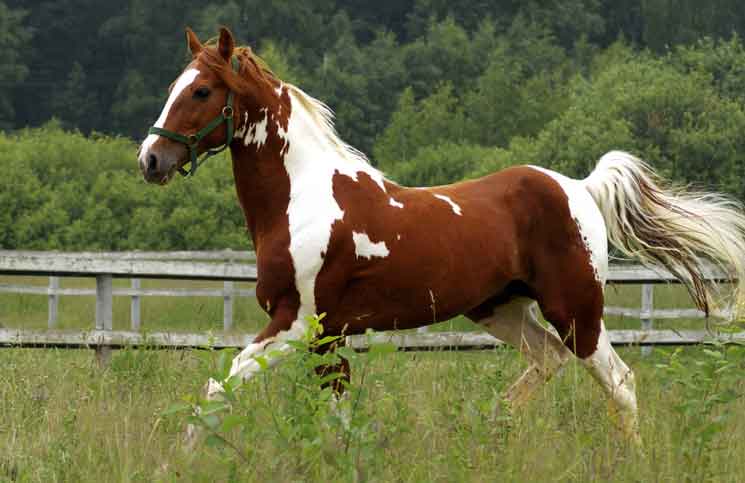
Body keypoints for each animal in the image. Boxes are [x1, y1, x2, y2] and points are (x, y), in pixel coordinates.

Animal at [138, 27, 745, 444]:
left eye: (202, 91)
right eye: (173, 86)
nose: (150, 159)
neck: (300, 200)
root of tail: (580, 188)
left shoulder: (298, 321)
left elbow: (218, 390)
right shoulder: (327, 336)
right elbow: (333, 413)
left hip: (576, 311)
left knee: (619, 382)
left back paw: (626, 454)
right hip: (499, 308)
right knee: (547, 363)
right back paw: (490, 431)